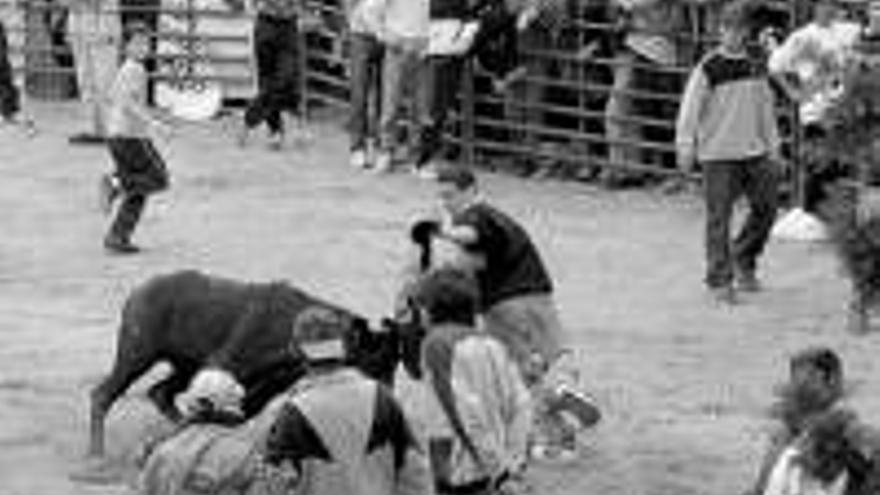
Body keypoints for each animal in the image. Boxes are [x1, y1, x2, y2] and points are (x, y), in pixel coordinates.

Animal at [87, 272, 424, 458]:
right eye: (373, 361)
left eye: (394, 363)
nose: (388, 397)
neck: (287, 327)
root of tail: (139, 290)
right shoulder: (224, 364)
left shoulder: (267, 386)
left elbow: (234, 414)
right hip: (136, 355)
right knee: (104, 394)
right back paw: (96, 453)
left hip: (184, 367)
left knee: (160, 393)